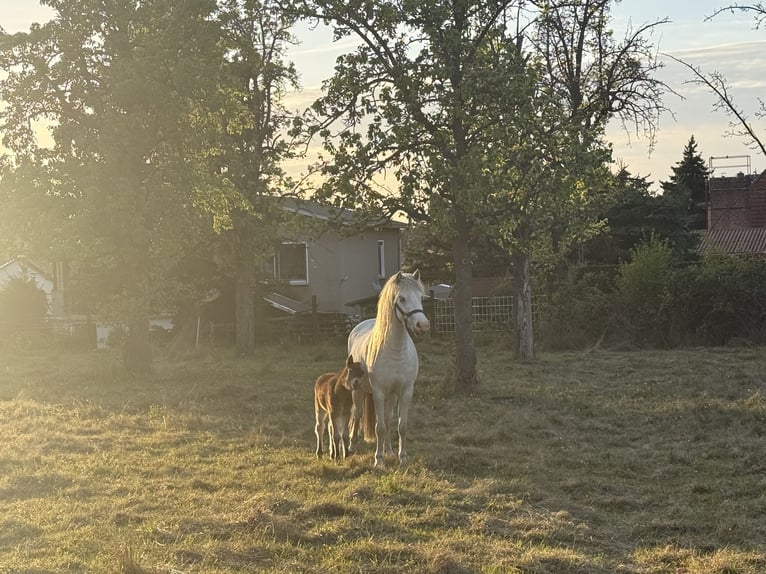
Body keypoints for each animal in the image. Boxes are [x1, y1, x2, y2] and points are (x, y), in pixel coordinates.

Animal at [347, 270, 430, 467]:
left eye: (421, 298)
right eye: (402, 298)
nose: (423, 326)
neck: (395, 350)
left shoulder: (405, 391)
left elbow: (400, 425)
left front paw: (402, 457)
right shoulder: (378, 392)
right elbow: (379, 427)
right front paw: (378, 461)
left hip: (391, 395)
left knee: (386, 418)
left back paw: (389, 450)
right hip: (358, 391)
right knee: (357, 414)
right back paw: (352, 446)